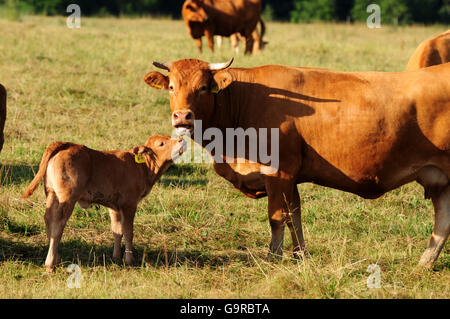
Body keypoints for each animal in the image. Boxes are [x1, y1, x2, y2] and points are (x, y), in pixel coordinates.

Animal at [21, 135, 185, 272]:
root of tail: (66, 144)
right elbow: (128, 231)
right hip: (67, 198)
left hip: (51, 193)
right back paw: (50, 264)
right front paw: (129, 259)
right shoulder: (129, 204)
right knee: (57, 224)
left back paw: (57, 258)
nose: (181, 140)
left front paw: (116, 257)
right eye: (162, 143)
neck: (141, 167)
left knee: (48, 220)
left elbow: (117, 230)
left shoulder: (115, 207)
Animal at [144, 58, 450, 270]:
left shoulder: (278, 172)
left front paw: (273, 256)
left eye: (204, 87)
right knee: (442, 224)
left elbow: (277, 217)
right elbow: (295, 215)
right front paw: (299, 255)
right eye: (171, 87)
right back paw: (425, 263)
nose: (182, 116)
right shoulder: (290, 178)